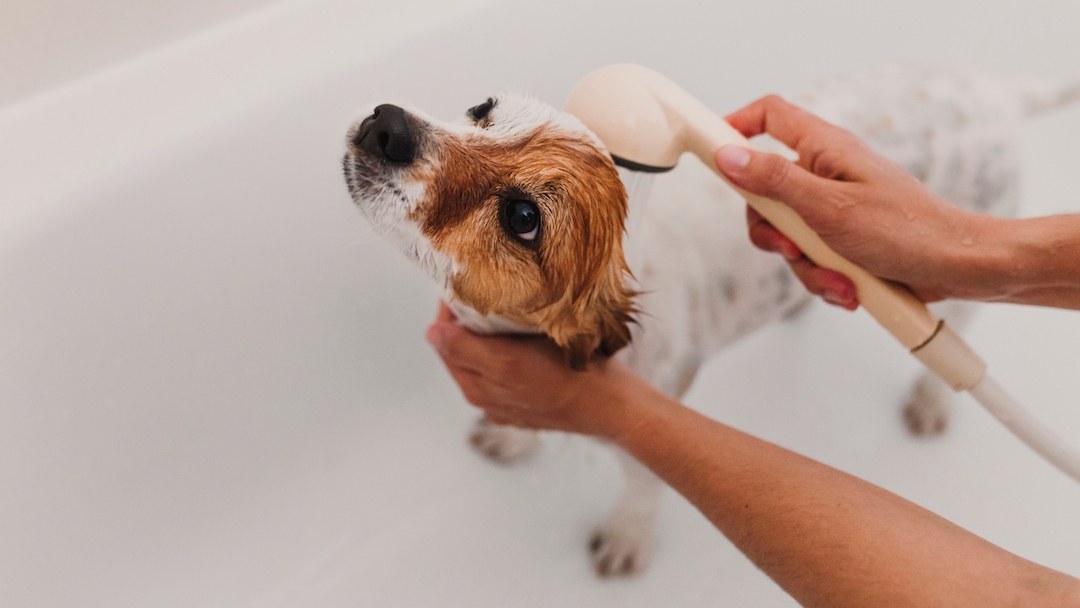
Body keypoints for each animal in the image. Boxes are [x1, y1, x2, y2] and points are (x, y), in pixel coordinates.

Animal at [341, 64, 1075, 578]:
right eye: (482, 110)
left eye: (523, 217)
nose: (389, 123)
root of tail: (994, 90)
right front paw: (511, 437)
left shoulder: (648, 421)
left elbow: (642, 492)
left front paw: (626, 540)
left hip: (961, 271)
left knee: (962, 336)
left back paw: (930, 402)